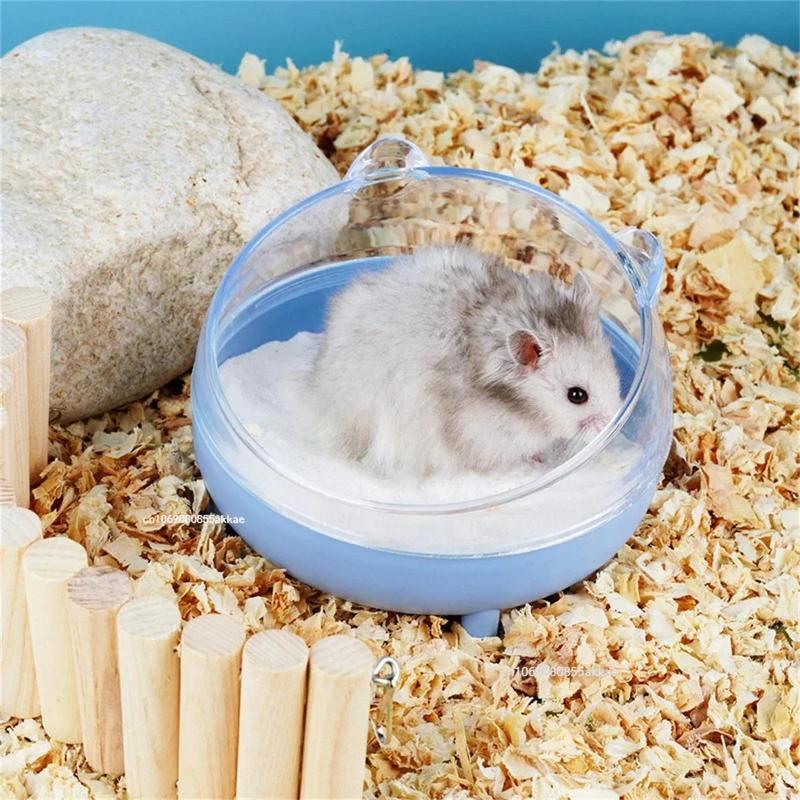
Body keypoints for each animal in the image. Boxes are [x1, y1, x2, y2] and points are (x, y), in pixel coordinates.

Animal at [310, 245, 622, 476]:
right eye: (577, 395)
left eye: (612, 370)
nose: (612, 422)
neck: (523, 408)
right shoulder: (484, 437)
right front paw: (536, 460)